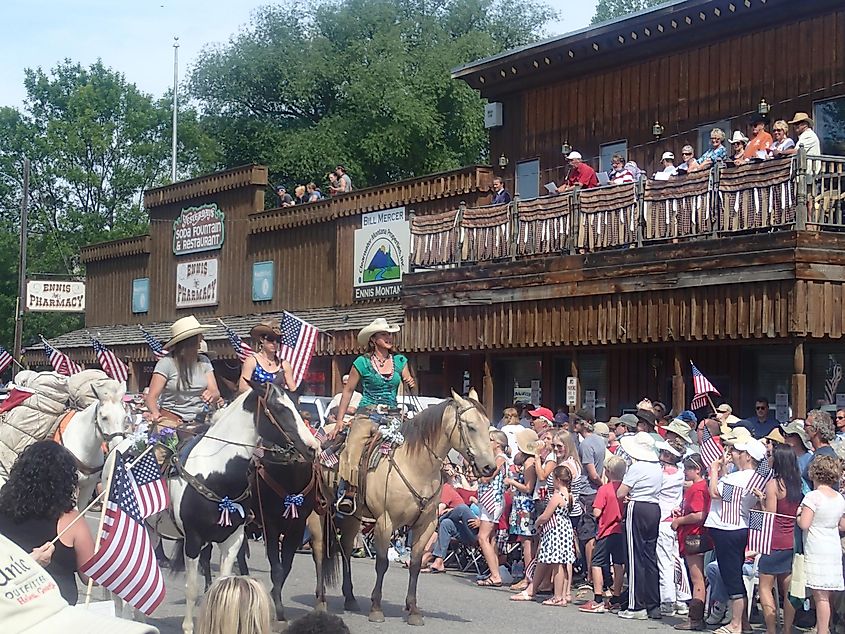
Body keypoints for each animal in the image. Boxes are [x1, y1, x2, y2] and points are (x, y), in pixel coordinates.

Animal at [308, 388, 494, 624]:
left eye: (488, 425)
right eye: (470, 426)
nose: (490, 467)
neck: (415, 466)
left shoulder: (426, 525)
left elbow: (415, 564)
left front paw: (413, 610)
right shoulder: (385, 522)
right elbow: (381, 563)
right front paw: (376, 608)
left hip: (352, 517)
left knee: (346, 549)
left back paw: (350, 598)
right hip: (319, 512)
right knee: (319, 550)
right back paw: (321, 600)